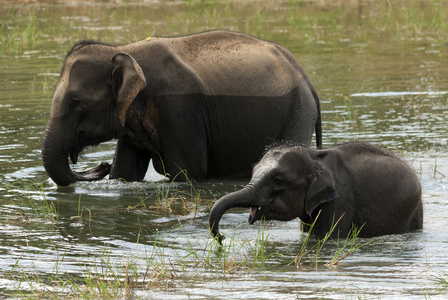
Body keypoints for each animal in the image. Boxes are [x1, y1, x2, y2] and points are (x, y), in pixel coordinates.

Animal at [43, 29, 322, 185]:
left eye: (77, 102)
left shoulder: (179, 110)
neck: (122, 50)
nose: (102, 165)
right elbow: (126, 172)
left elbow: (187, 173)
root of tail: (306, 78)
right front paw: (116, 172)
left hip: (298, 111)